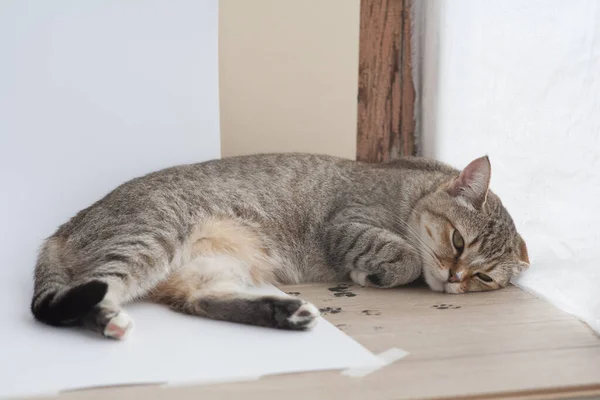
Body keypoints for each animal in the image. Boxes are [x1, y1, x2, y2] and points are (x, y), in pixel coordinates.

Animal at [31, 152, 528, 338]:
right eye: (458, 241)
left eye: (484, 277)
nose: (456, 278)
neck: (409, 190)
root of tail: (61, 228)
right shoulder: (346, 221)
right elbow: (404, 259)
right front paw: (374, 273)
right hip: (148, 238)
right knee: (95, 291)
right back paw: (109, 318)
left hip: (208, 267)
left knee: (199, 300)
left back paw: (284, 312)